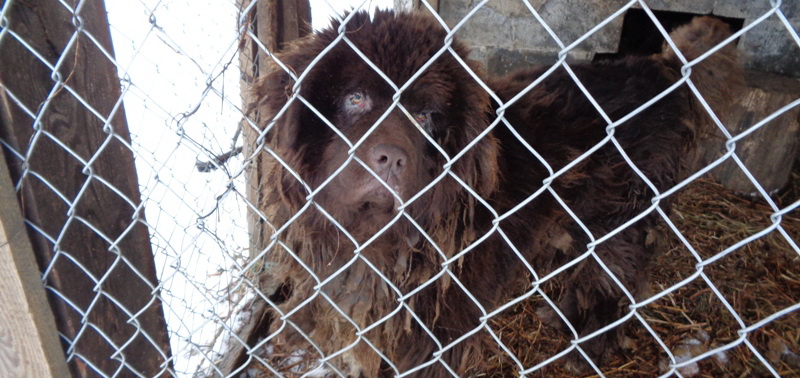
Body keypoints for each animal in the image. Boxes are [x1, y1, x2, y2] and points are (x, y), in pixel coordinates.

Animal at [253, 10, 740, 376]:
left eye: (426, 115)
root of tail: (661, 69)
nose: (391, 159)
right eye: (356, 99)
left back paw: (587, 345)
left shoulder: (439, 334)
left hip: (622, 221)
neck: (378, 238)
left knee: (610, 284)